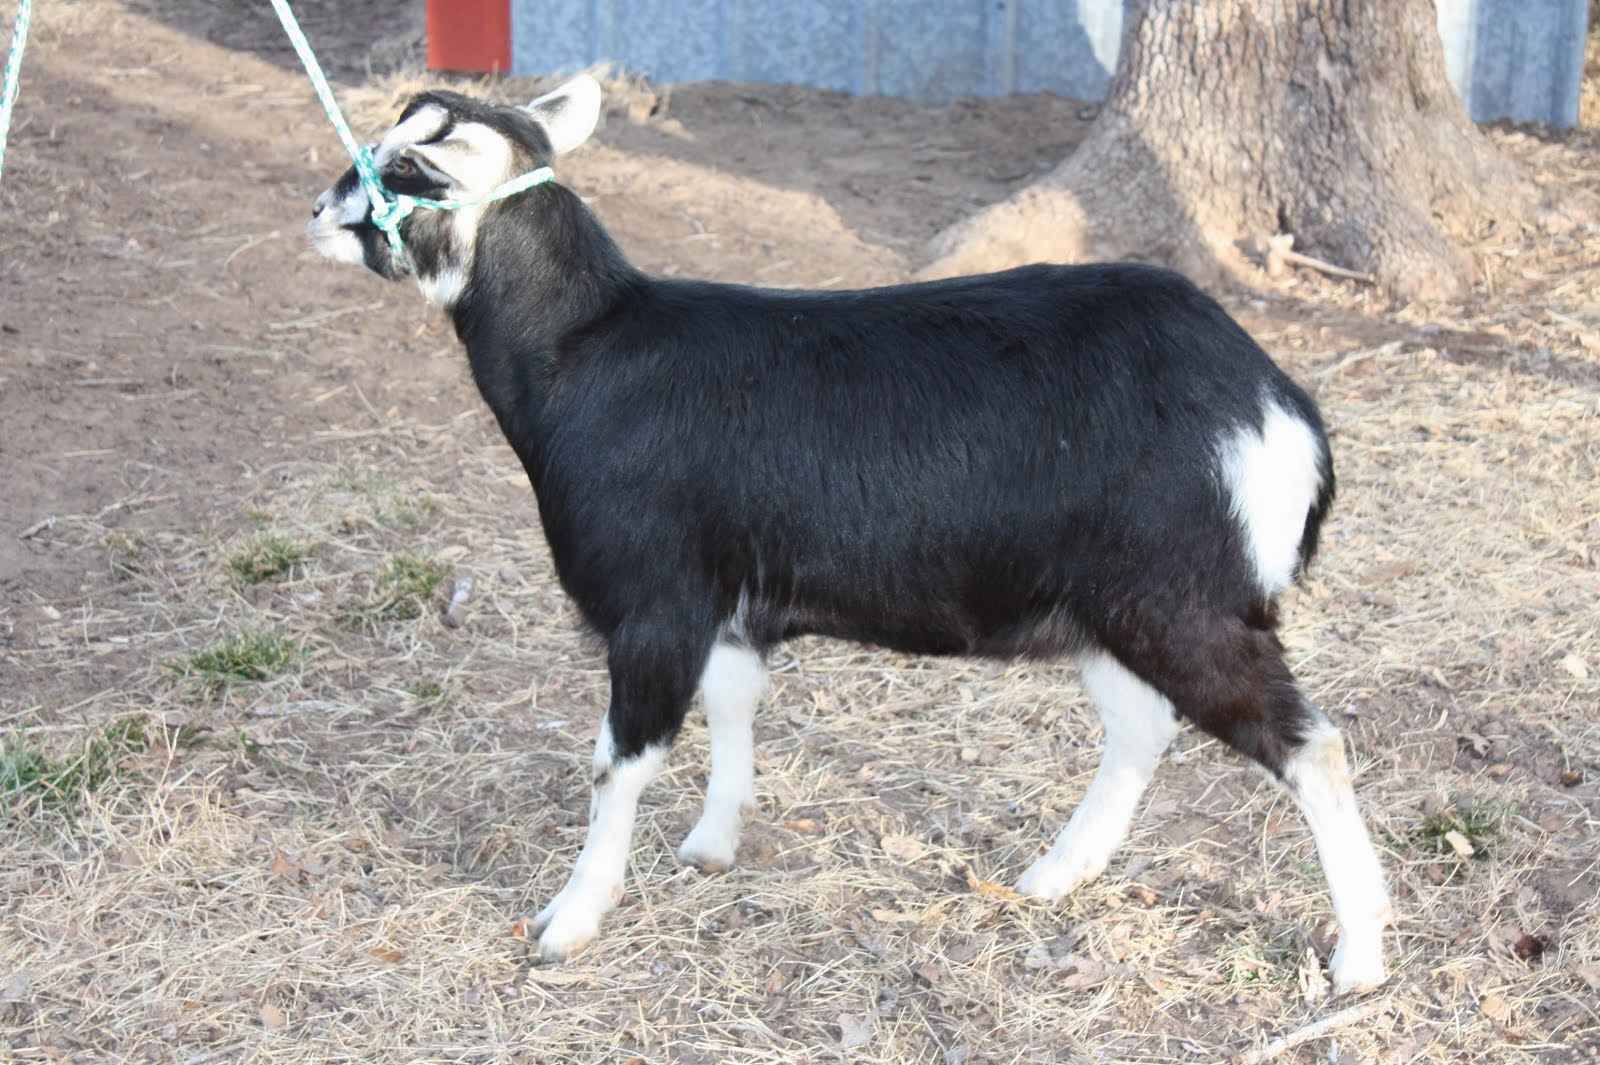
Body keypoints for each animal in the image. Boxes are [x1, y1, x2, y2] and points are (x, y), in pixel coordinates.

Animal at [308, 76, 1388, 997]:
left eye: (405, 169)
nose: (320, 211)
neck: (585, 352)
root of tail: (1276, 406)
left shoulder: (656, 604)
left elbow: (620, 760)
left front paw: (568, 920)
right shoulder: (728, 602)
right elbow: (734, 704)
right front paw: (713, 842)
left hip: (1176, 599)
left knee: (1311, 745)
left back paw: (1359, 961)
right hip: (1106, 603)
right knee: (1142, 725)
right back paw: (1055, 875)